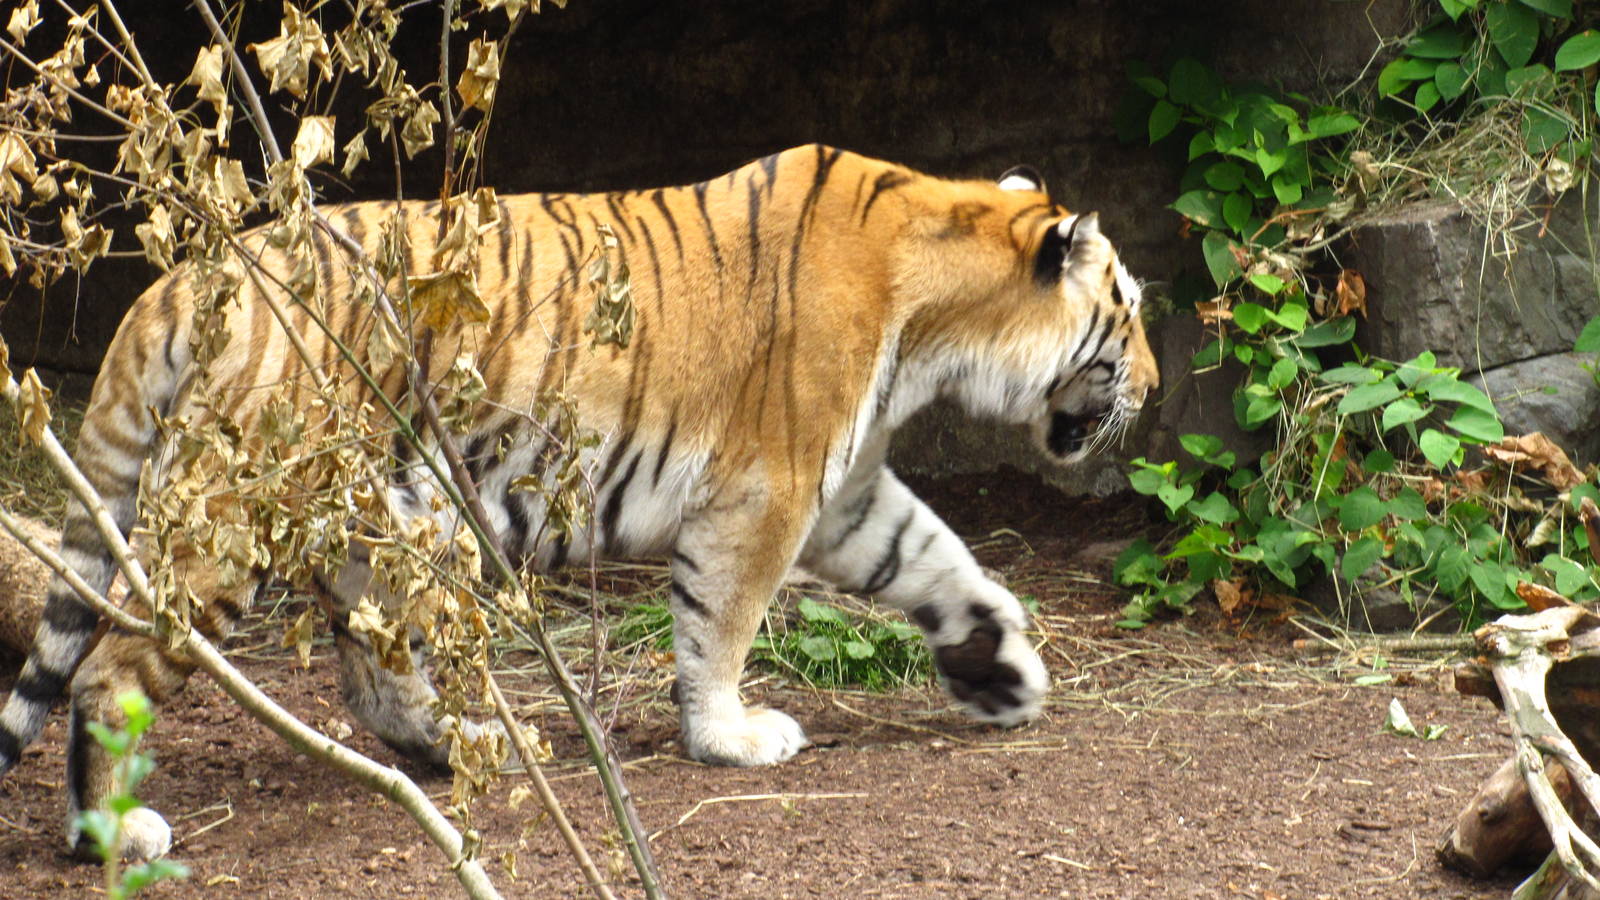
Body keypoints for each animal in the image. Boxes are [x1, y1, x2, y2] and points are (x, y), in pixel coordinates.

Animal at [0, 144, 1157, 861]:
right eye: (1129, 312)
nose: (1150, 386)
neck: (936, 325)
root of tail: (183, 278)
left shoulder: (844, 492)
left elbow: (935, 558)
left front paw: (999, 668)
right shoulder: (768, 491)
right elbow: (723, 627)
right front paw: (730, 738)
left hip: (381, 518)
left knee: (370, 676)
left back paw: (468, 745)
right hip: (241, 519)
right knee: (107, 671)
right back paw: (113, 836)